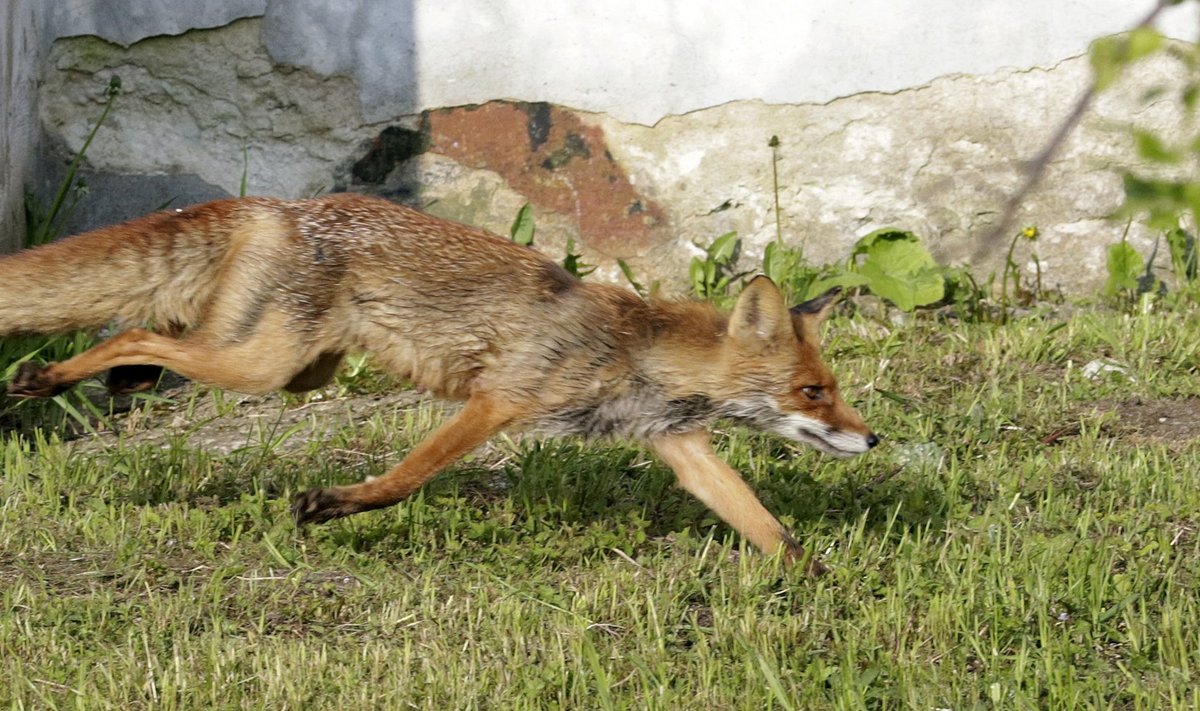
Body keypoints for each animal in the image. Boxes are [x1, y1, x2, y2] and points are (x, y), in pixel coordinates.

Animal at [4, 193, 878, 566]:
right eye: (813, 391)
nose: (872, 438)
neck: (635, 353)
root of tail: (276, 201)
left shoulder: (680, 444)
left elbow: (769, 527)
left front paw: (818, 583)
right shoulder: (498, 400)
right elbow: (406, 477)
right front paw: (335, 505)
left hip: (293, 368)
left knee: (156, 335)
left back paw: (117, 380)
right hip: (258, 363)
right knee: (134, 328)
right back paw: (46, 376)